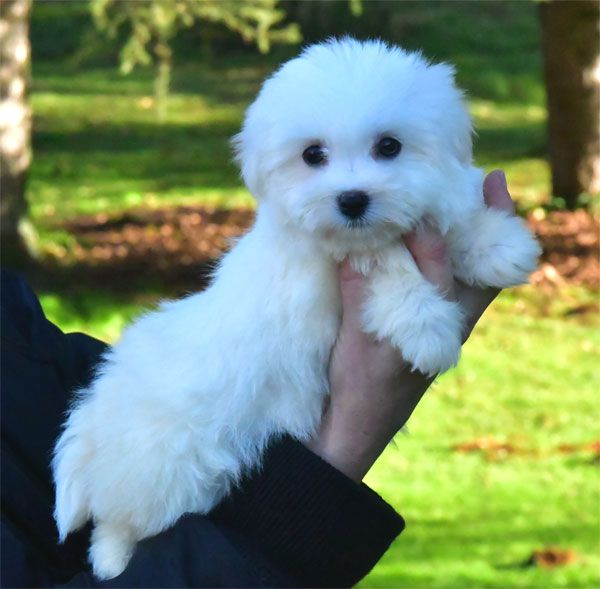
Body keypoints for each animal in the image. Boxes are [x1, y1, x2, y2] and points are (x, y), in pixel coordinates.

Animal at [50, 38, 540, 580]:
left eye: (390, 147)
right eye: (312, 155)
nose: (352, 200)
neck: (359, 233)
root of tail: (93, 419)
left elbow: (451, 225)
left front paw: (497, 245)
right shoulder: (342, 261)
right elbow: (388, 269)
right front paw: (427, 329)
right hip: (167, 469)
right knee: (120, 523)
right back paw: (112, 562)